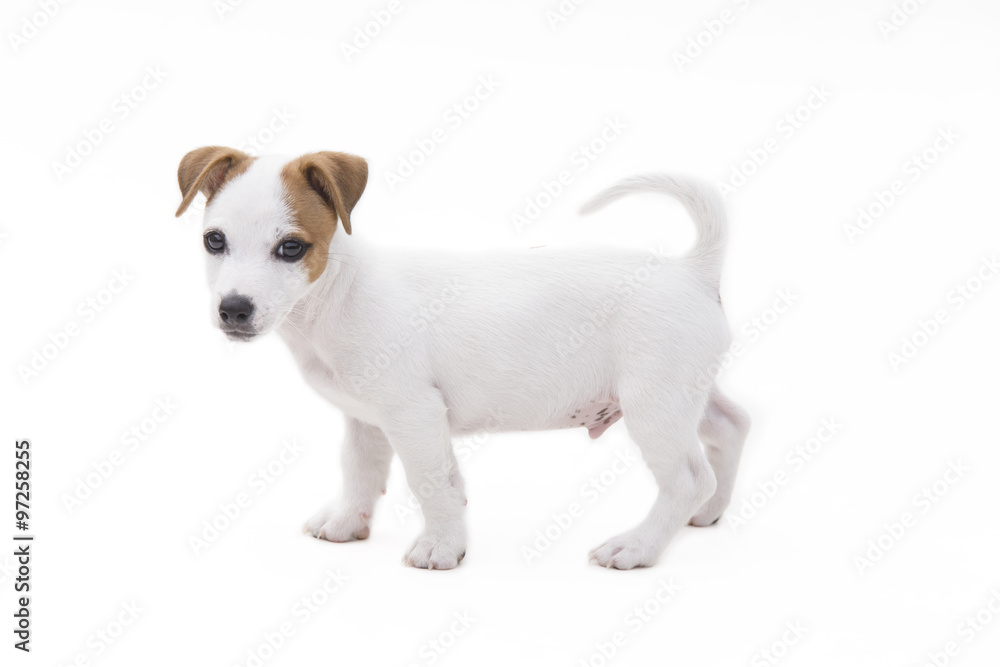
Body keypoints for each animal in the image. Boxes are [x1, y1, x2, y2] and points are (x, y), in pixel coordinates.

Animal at [174, 149, 752, 572]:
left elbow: (431, 485)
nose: (234, 309)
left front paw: (440, 547)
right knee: (731, 426)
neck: (337, 297)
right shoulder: (367, 420)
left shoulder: (414, 415)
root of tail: (692, 270)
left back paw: (638, 546)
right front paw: (347, 523)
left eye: (291, 248)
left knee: (687, 479)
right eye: (214, 241)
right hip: (685, 394)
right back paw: (710, 512)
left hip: (654, 405)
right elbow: (361, 471)